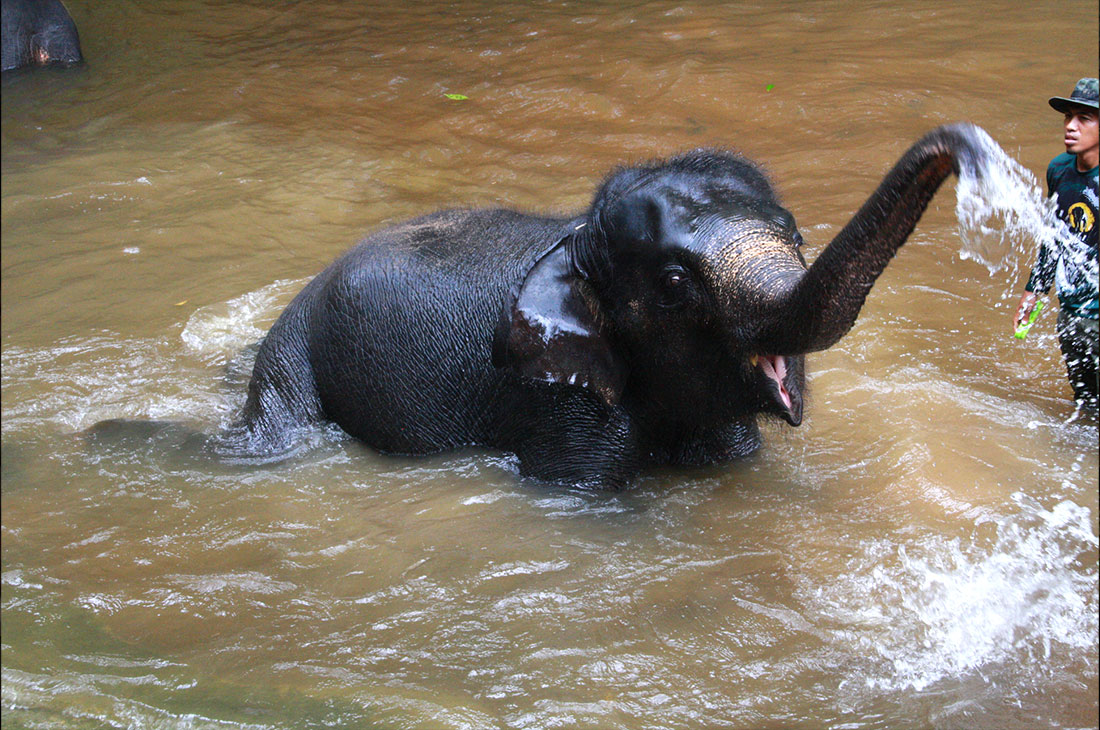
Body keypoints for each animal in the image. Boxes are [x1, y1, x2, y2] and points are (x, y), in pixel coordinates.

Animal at [187, 122, 990, 490]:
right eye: (674, 283)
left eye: (794, 235)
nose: (969, 148)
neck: (574, 237)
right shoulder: (561, 403)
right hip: (292, 356)